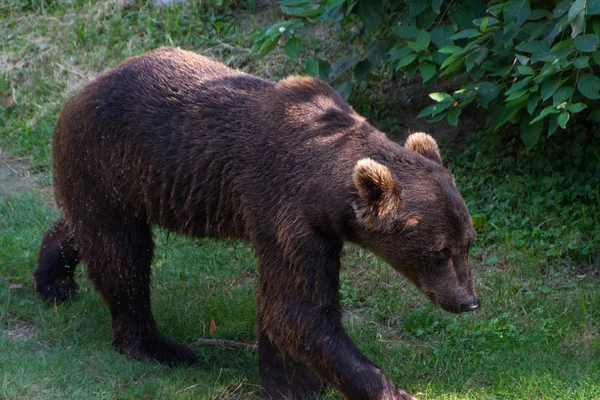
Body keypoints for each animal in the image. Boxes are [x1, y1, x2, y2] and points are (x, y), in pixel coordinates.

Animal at [35, 47, 480, 400]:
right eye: (440, 251)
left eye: (468, 243)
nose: (468, 301)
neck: (326, 184)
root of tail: (81, 90)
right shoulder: (287, 211)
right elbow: (297, 311)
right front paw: (387, 389)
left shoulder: (312, 227)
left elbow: (280, 311)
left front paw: (294, 382)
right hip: (107, 159)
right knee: (123, 255)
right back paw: (159, 346)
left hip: (122, 182)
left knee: (84, 228)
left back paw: (54, 280)